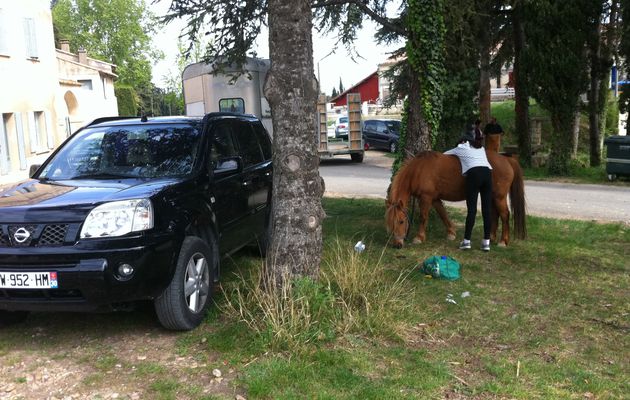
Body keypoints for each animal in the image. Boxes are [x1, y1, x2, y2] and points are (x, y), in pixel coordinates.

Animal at [386, 152, 528, 248]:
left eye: (401, 221)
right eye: (389, 223)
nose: (397, 245)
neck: (419, 169)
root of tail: (506, 159)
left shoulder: (426, 198)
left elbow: (423, 217)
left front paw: (419, 238)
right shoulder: (435, 199)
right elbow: (443, 214)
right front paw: (451, 233)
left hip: (499, 197)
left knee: (504, 215)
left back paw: (503, 241)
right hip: (492, 196)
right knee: (494, 214)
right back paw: (491, 238)